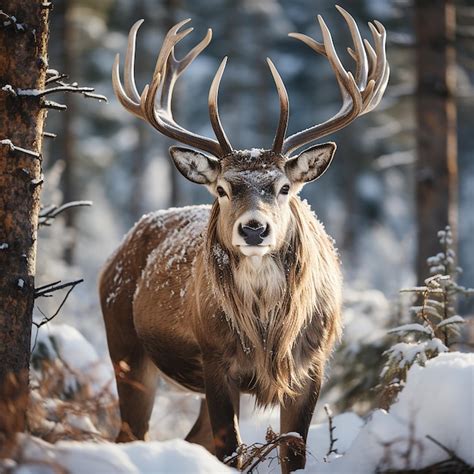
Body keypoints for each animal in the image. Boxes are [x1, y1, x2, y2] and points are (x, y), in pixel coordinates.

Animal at [101, 5, 388, 472]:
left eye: (285, 187)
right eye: (221, 188)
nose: (254, 228)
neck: (268, 329)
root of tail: (119, 251)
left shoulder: (312, 364)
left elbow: (293, 453)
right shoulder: (215, 358)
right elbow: (231, 451)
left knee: (188, 438)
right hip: (124, 346)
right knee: (132, 434)